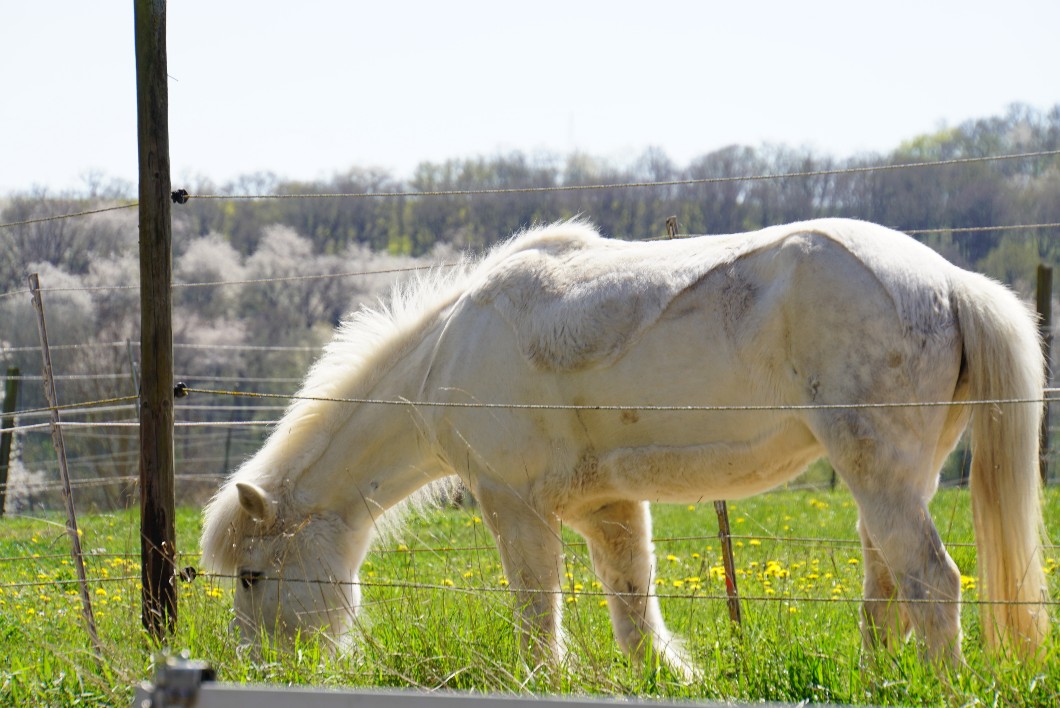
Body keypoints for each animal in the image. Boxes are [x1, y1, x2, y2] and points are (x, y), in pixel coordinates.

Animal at [202, 218, 1047, 674]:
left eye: (251, 575)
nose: (256, 669)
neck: (452, 348)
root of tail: (947, 279)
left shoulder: (513, 506)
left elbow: (536, 608)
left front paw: (543, 676)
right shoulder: (608, 507)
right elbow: (634, 603)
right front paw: (667, 673)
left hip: (881, 476)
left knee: (933, 584)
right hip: (891, 482)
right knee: (888, 592)